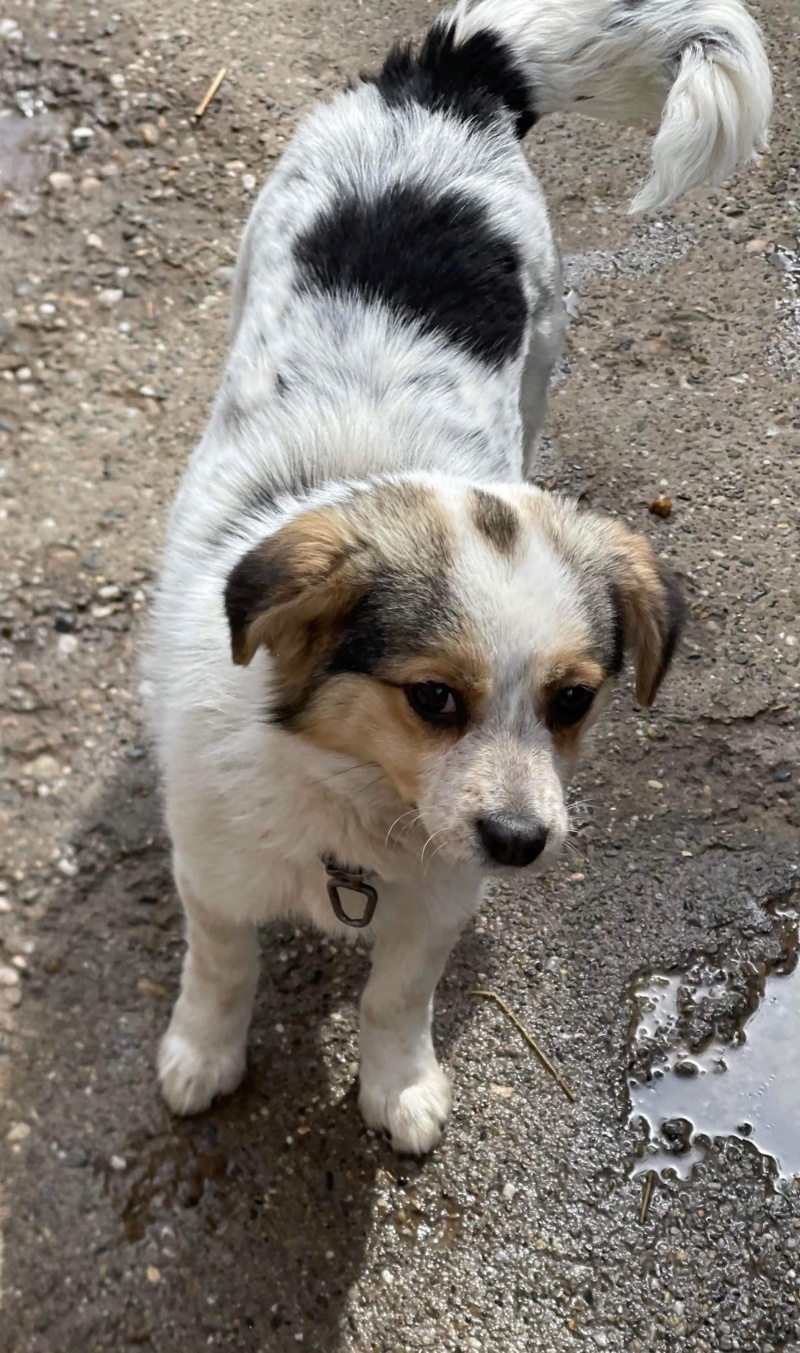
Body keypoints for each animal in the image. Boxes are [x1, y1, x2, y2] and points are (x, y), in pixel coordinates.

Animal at [146, 0, 774, 1152]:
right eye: (432, 698)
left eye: (573, 701)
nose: (521, 844)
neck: (349, 792)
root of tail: (445, 76)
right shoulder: (211, 873)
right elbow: (220, 969)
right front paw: (202, 1055)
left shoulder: (438, 899)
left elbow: (396, 995)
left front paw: (397, 1085)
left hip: (543, 346)